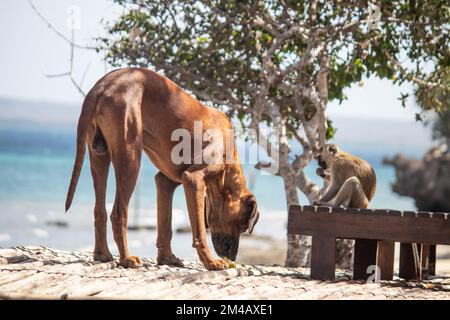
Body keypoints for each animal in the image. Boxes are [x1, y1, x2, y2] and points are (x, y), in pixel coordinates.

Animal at [64, 67, 258, 270]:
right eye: (242, 226)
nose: (233, 257)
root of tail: (103, 85)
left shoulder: (165, 183)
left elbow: (166, 225)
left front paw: (167, 258)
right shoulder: (194, 180)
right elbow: (199, 233)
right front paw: (210, 261)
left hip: (99, 155)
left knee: (99, 210)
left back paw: (102, 254)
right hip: (130, 158)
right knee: (118, 213)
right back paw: (126, 258)